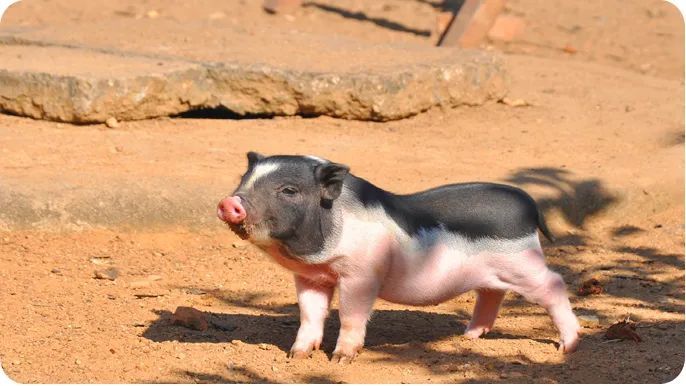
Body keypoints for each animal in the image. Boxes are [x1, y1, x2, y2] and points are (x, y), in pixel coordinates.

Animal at [218, 152, 584, 362]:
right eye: (244, 180)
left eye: (289, 190)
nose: (228, 202)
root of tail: (529, 202)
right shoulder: (311, 276)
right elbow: (310, 313)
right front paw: (296, 356)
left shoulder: (361, 274)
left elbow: (351, 314)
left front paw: (340, 360)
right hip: (496, 273)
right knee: (492, 294)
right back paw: (467, 336)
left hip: (524, 264)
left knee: (554, 283)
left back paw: (567, 346)